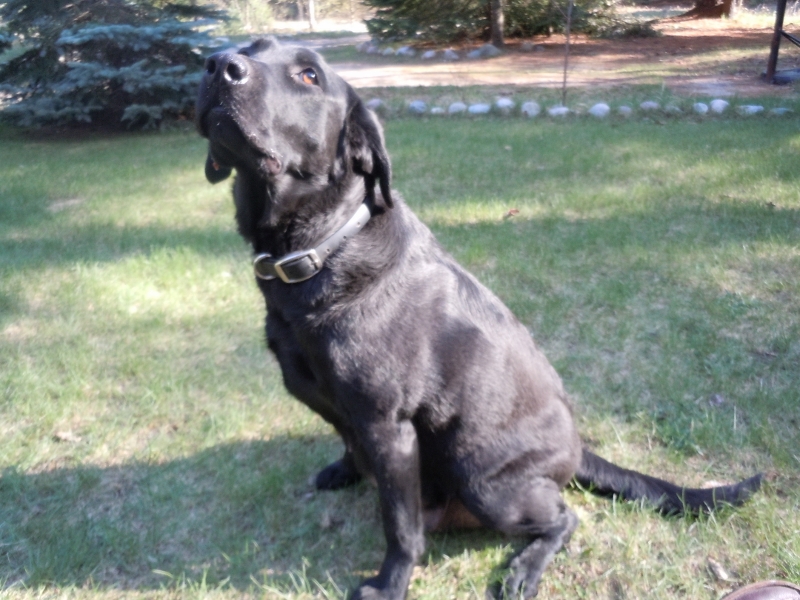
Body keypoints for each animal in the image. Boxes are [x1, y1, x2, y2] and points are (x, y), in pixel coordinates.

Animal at [195, 38, 764, 600]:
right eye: (251, 47)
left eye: (309, 76)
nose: (219, 65)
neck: (322, 248)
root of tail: (579, 451)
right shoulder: (346, 414)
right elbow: (350, 448)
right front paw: (343, 470)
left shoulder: (389, 427)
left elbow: (400, 524)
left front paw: (390, 584)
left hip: (482, 480)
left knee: (566, 519)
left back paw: (525, 570)